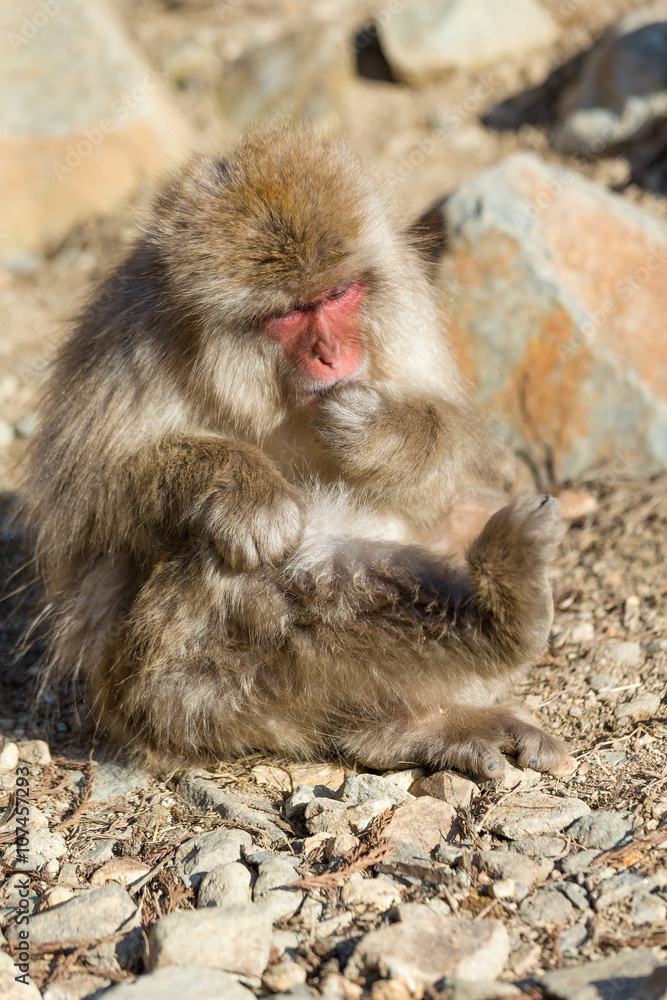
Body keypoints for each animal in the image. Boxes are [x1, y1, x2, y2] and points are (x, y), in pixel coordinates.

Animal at [24, 128, 575, 780]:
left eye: (337, 295)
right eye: (290, 313)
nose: (331, 355)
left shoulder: (405, 308)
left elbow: (456, 445)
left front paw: (378, 431)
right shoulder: (127, 340)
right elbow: (88, 497)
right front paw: (247, 491)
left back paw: (427, 706)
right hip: (170, 694)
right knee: (241, 559)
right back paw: (490, 634)